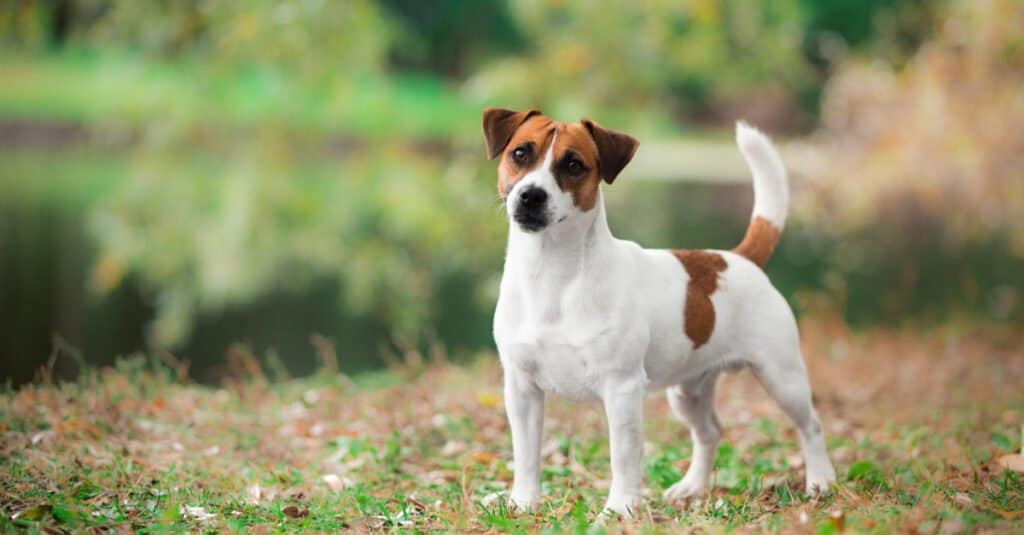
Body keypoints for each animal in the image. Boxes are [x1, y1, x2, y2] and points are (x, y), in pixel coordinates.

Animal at [483, 106, 835, 514]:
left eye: (573, 164)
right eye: (520, 153)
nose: (531, 196)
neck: (553, 276)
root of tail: (739, 258)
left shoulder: (622, 389)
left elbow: (623, 457)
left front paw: (619, 509)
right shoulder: (521, 389)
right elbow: (526, 453)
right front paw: (523, 502)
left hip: (782, 377)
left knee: (811, 424)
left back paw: (821, 480)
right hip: (688, 392)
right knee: (710, 432)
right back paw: (691, 487)